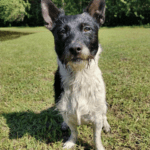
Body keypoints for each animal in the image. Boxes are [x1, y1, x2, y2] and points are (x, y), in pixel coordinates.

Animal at [41, 0, 110, 149]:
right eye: (62, 32)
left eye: (87, 29)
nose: (74, 48)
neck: (79, 75)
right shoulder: (68, 113)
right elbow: (74, 131)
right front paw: (71, 142)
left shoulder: (97, 116)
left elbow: (96, 136)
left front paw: (99, 146)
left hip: (104, 105)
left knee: (105, 116)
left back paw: (106, 125)